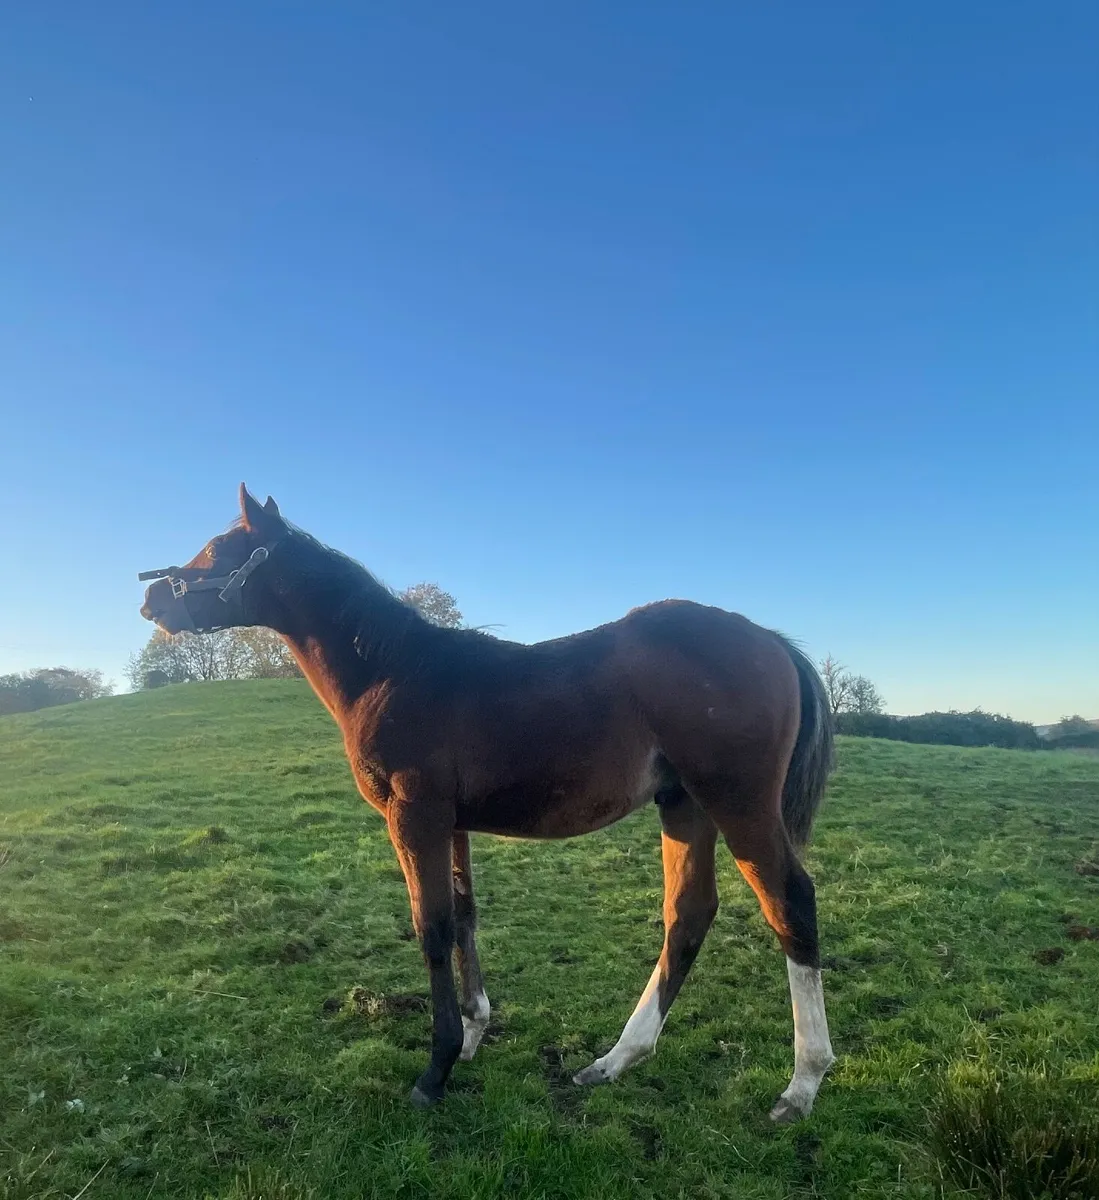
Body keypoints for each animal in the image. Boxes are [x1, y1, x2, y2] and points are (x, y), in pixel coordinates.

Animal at [138, 485, 836, 1118]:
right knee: (688, 913)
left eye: (217, 549)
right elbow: (465, 916)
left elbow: (431, 927)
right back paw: (615, 1060)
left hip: (738, 803)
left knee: (790, 903)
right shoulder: (451, 823)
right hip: (682, 805)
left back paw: (803, 1082)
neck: (391, 672)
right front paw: (474, 1034)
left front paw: (436, 1069)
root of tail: (771, 641)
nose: (150, 598)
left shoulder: (413, 816)